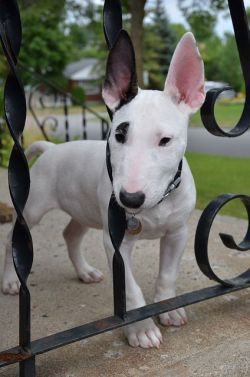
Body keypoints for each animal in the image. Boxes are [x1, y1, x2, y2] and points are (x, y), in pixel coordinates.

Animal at [2, 30, 205, 348]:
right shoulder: (116, 244)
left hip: (84, 210)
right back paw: (11, 280)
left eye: (165, 140)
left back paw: (85, 272)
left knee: (70, 235)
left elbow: (167, 275)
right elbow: (131, 291)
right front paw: (141, 330)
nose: (129, 199)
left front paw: (168, 308)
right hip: (32, 209)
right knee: (12, 238)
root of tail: (51, 148)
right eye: (119, 135)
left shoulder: (177, 233)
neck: (157, 205)